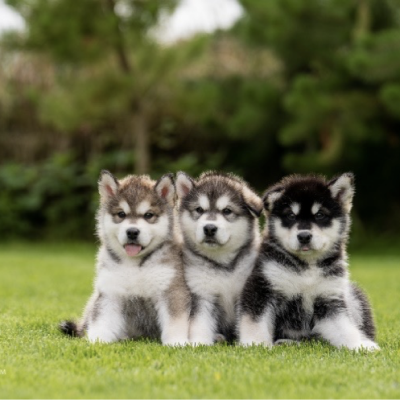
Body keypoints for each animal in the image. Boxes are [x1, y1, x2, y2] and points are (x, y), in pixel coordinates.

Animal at [59, 170, 191, 346]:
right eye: (121, 214)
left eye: (148, 215)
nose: (132, 232)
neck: (136, 265)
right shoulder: (110, 292)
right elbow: (102, 320)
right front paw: (96, 341)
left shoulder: (171, 290)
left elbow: (175, 321)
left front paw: (177, 343)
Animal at [175, 170, 262, 346]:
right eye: (199, 210)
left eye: (227, 211)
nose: (209, 228)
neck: (223, 264)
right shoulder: (202, 294)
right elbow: (200, 322)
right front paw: (199, 343)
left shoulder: (248, 290)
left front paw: (251, 343)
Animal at [239, 172, 380, 350]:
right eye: (291, 215)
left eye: (319, 215)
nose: (304, 236)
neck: (306, 268)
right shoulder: (262, 287)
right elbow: (255, 322)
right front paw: (255, 343)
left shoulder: (329, 298)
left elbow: (345, 327)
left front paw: (359, 345)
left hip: (353, 297)